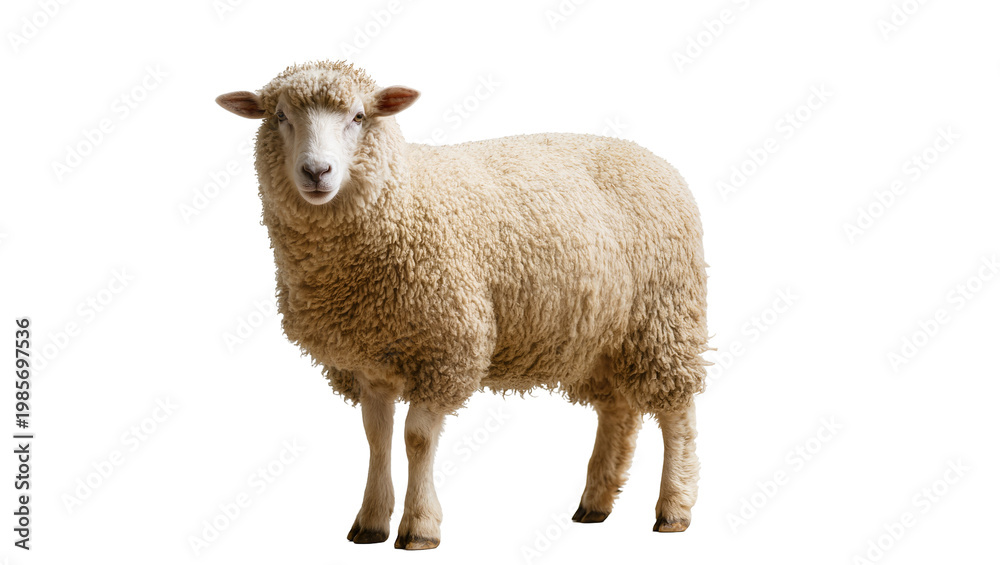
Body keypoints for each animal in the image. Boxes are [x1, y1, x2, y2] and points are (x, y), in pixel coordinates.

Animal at [216, 60, 709, 550]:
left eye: (358, 116)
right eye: (279, 116)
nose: (317, 171)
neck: (402, 200)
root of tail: (650, 157)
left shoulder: (447, 346)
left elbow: (416, 438)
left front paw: (419, 526)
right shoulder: (370, 358)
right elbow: (377, 437)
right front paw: (371, 522)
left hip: (664, 317)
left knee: (677, 414)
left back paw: (674, 508)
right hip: (602, 337)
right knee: (618, 411)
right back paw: (595, 503)